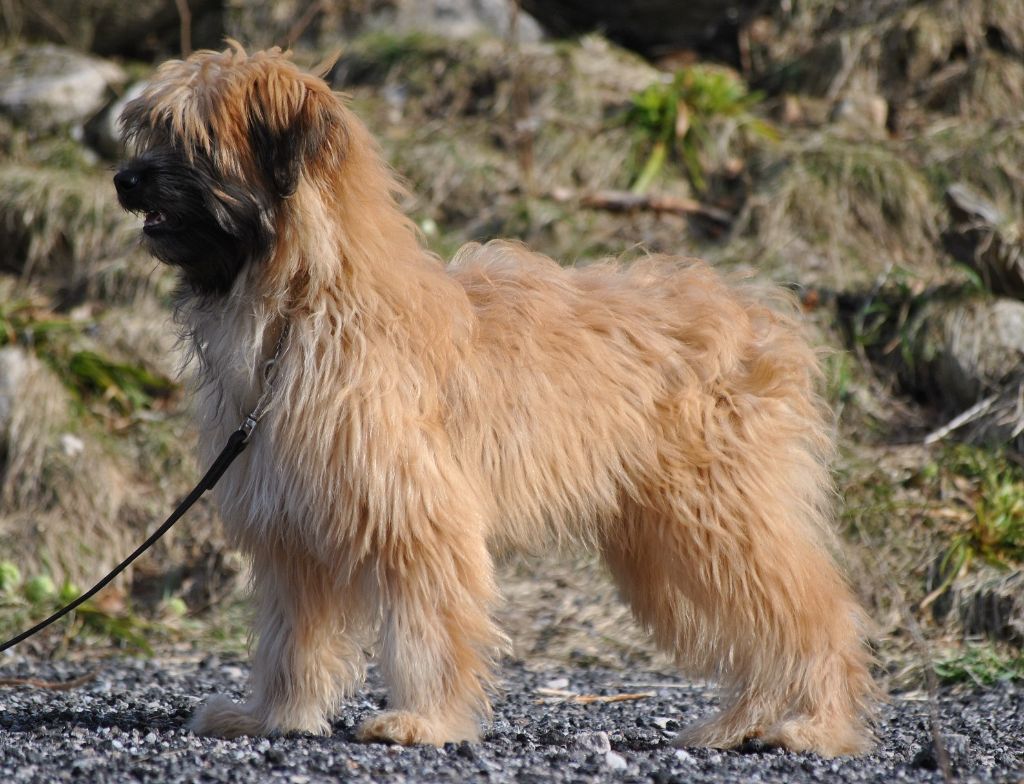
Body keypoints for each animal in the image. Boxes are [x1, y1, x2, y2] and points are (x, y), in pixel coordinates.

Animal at [116, 44, 876, 761]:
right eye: (148, 128)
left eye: (190, 139)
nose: (125, 179)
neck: (309, 302)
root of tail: (756, 311)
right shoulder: (290, 531)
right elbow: (289, 639)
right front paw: (273, 715)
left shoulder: (417, 514)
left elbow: (428, 628)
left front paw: (422, 720)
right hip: (668, 546)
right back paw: (743, 722)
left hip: (716, 518)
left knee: (817, 614)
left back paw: (814, 725)